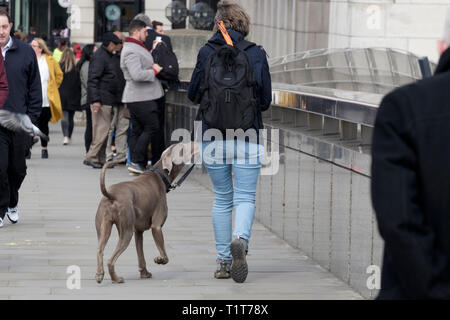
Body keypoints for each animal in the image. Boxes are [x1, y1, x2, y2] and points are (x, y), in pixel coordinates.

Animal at [95, 142, 199, 282]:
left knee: (99, 250)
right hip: (126, 231)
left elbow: (141, 255)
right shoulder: (156, 226)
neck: (160, 176)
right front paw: (159, 260)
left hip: (104, 227)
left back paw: (99, 274)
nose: (196, 143)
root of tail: (111, 194)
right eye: (183, 148)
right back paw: (116, 279)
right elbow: (165, 256)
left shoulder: (138, 231)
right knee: (110, 260)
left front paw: (144, 273)